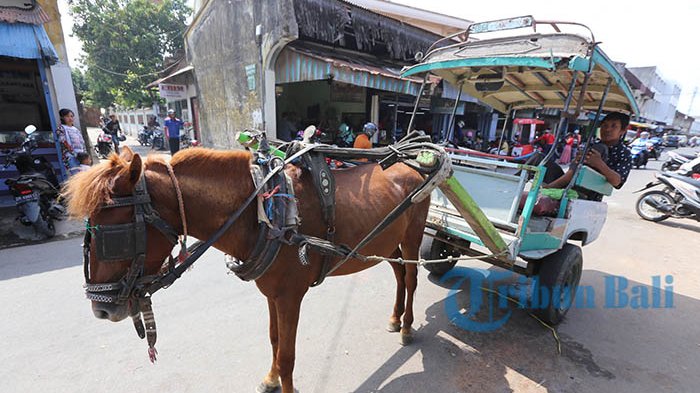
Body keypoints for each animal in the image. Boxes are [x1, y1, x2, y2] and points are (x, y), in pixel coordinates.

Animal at [65, 147, 430, 392]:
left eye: (112, 236)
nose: (100, 309)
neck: (264, 212)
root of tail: (411, 165)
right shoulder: (271, 294)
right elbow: (273, 340)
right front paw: (270, 378)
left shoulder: (290, 297)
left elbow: (288, 356)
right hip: (387, 243)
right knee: (399, 275)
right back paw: (395, 317)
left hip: (413, 237)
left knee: (412, 279)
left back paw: (407, 326)